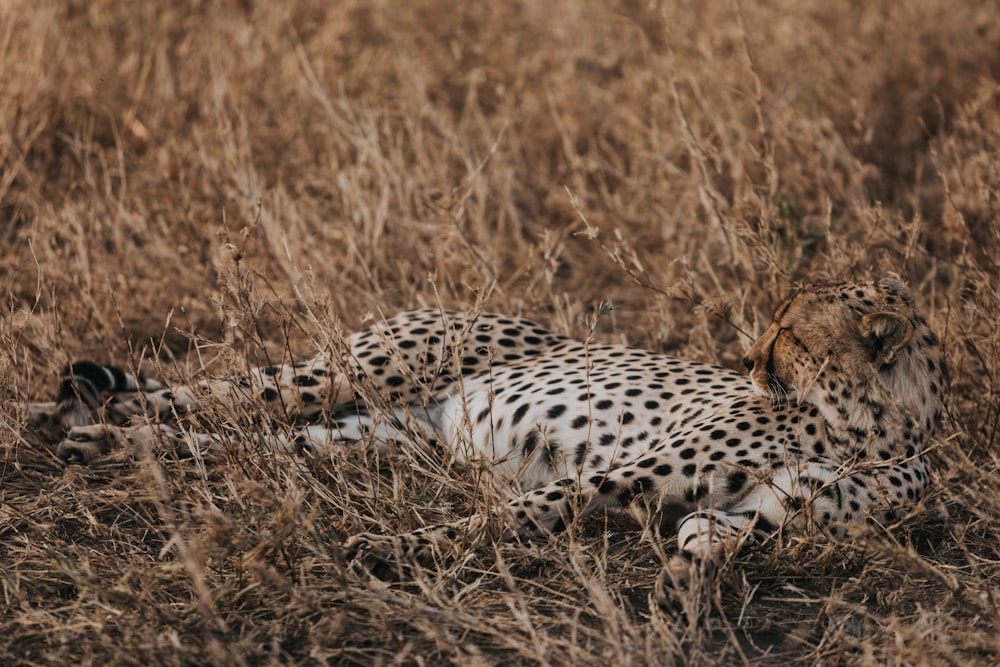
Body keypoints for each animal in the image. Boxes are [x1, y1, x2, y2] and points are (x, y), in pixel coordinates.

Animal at [25, 280, 944, 596]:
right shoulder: (632, 473)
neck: (871, 426)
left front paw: (686, 582)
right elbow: (521, 513)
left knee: (247, 445)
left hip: (377, 437)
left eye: (788, 331)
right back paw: (71, 416)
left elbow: (712, 536)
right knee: (220, 395)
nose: (748, 358)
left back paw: (95, 442)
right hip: (349, 373)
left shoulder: (752, 510)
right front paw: (386, 551)